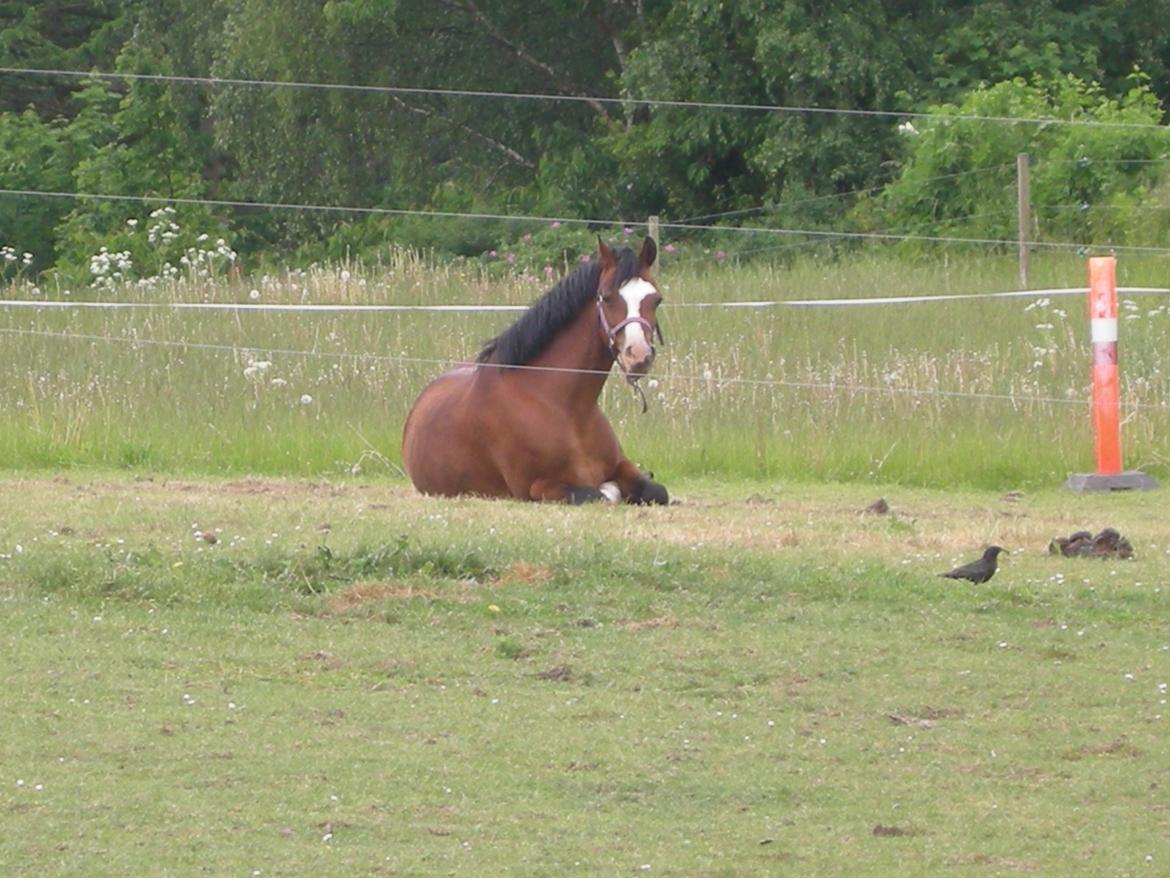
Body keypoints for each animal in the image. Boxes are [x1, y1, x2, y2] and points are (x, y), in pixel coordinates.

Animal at [404, 237, 669, 505]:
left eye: (656, 300)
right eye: (606, 297)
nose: (638, 356)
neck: (568, 410)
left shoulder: (622, 466)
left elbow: (657, 491)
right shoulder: (539, 487)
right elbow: (600, 495)